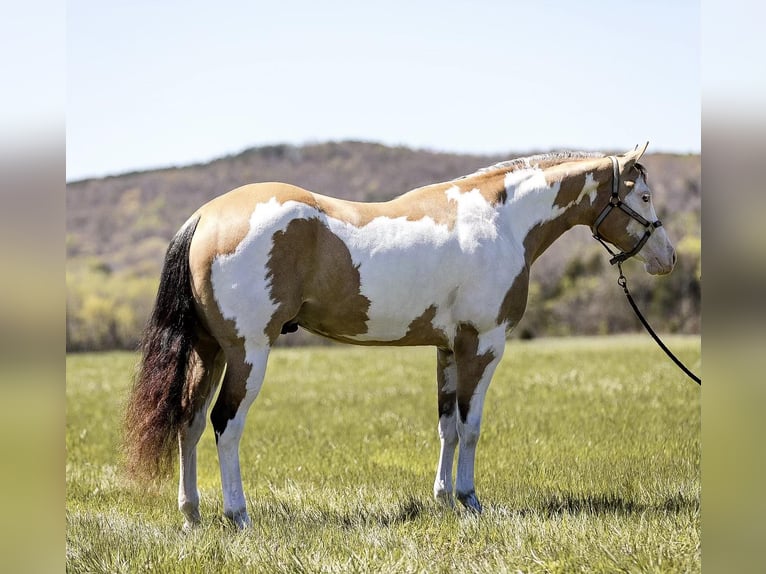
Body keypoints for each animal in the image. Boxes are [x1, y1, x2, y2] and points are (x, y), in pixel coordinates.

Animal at [124, 145, 680, 532]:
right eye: (644, 196)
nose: (667, 259)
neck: (500, 220)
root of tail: (206, 216)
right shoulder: (484, 345)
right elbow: (471, 428)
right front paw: (470, 501)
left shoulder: (448, 348)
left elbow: (447, 428)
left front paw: (443, 501)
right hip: (248, 353)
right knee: (225, 425)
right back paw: (238, 516)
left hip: (210, 350)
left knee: (190, 423)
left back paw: (192, 514)